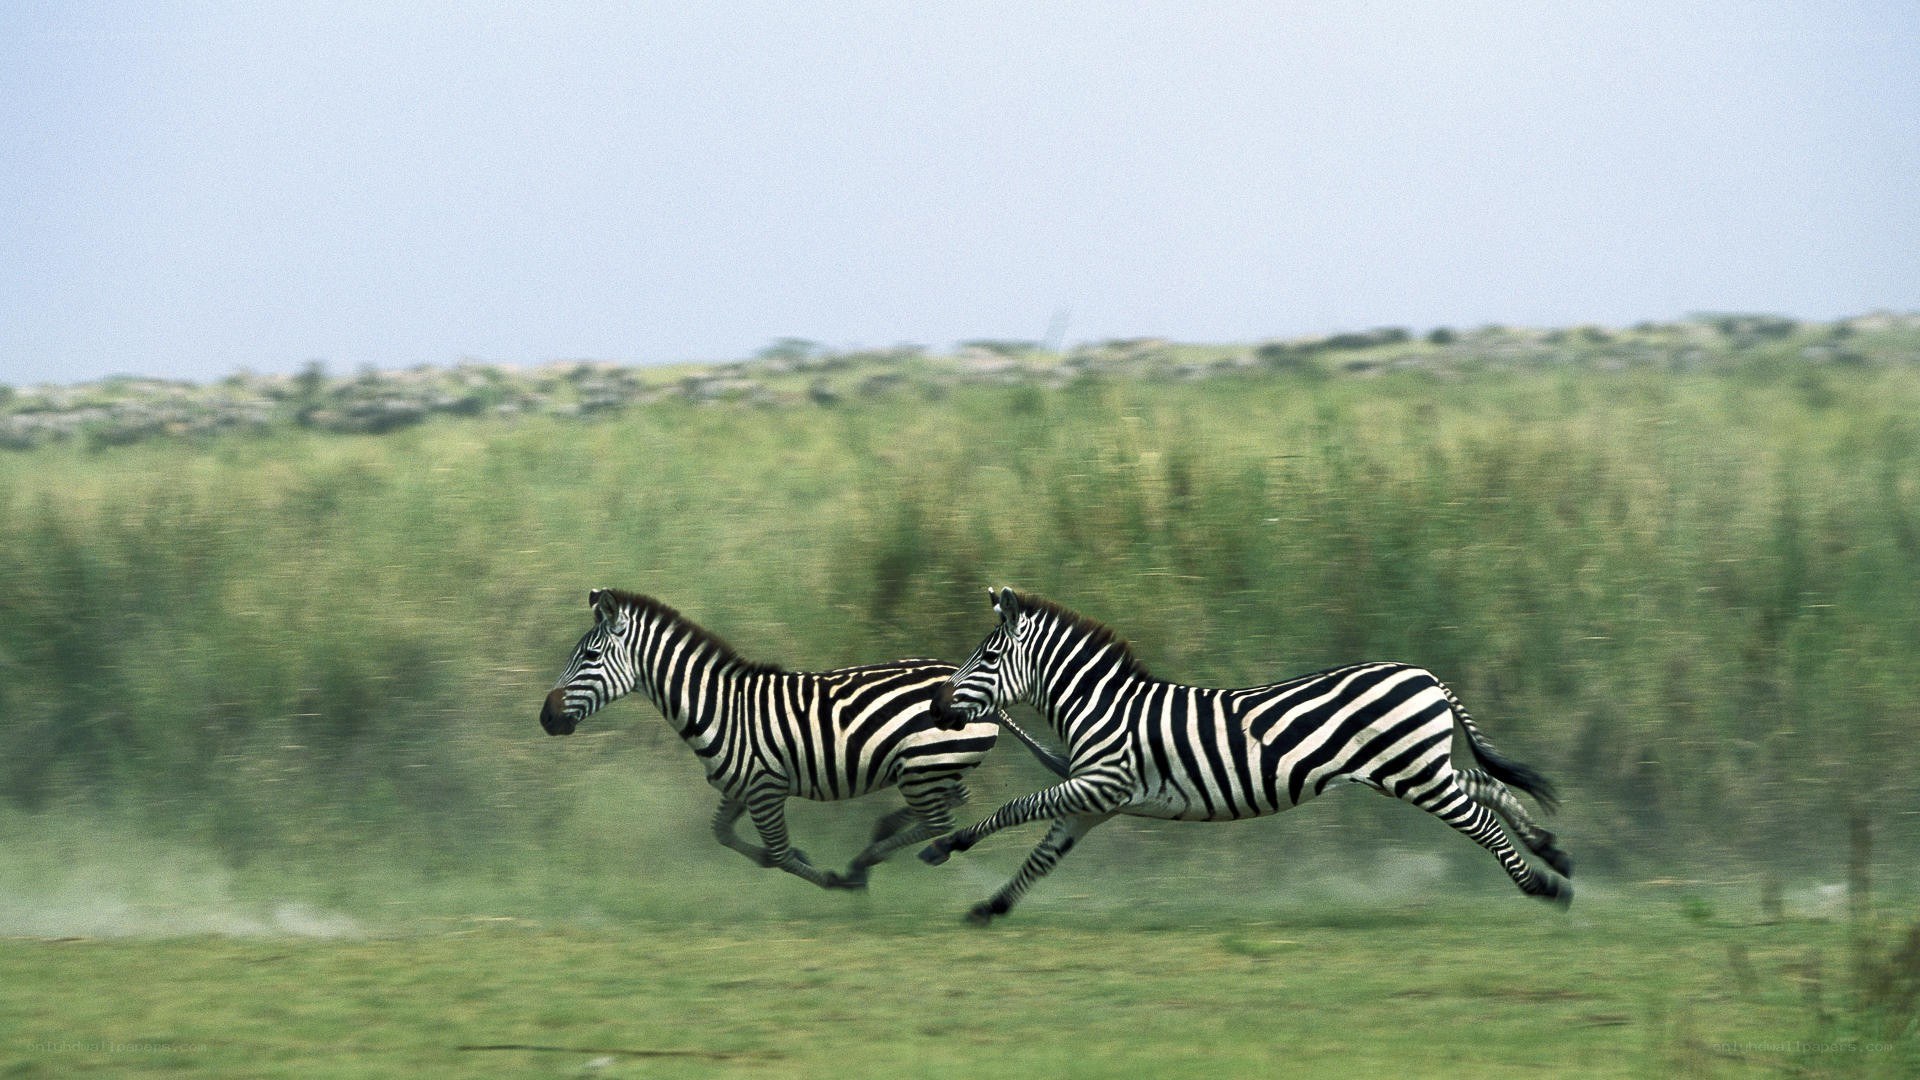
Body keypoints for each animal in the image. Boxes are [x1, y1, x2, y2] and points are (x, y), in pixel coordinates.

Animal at [539, 588, 1068, 890]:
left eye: (589, 657)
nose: (546, 718)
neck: (718, 707)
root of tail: (994, 703)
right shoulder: (740, 787)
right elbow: (723, 834)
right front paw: (800, 859)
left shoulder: (764, 787)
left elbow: (777, 853)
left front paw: (828, 877)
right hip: (931, 766)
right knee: (946, 805)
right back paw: (877, 842)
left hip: (924, 764)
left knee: (940, 821)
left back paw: (863, 863)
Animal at [920, 588, 1572, 924]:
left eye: (987, 656)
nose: (939, 705)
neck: (1102, 707)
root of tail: (1427, 676)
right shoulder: (1093, 801)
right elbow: (1042, 855)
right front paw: (991, 906)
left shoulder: (1102, 784)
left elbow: (1015, 809)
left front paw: (947, 845)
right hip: (1417, 766)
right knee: (1483, 784)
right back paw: (1550, 850)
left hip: (1413, 772)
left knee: (1481, 819)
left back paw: (1544, 887)